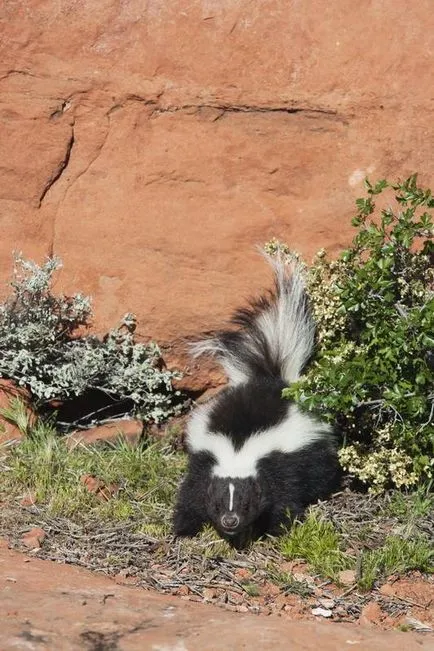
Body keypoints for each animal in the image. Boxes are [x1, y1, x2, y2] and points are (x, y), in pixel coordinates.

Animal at [172, 252, 340, 548]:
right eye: (218, 504)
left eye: (246, 504)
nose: (230, 521)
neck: (239, 450)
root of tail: (273, 381)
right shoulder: (204, 460)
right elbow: (191, 493)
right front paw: (184, 527)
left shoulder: (282, 464)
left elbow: (284, 498)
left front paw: (278, 528)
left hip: (313, 451)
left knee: (321, 472)